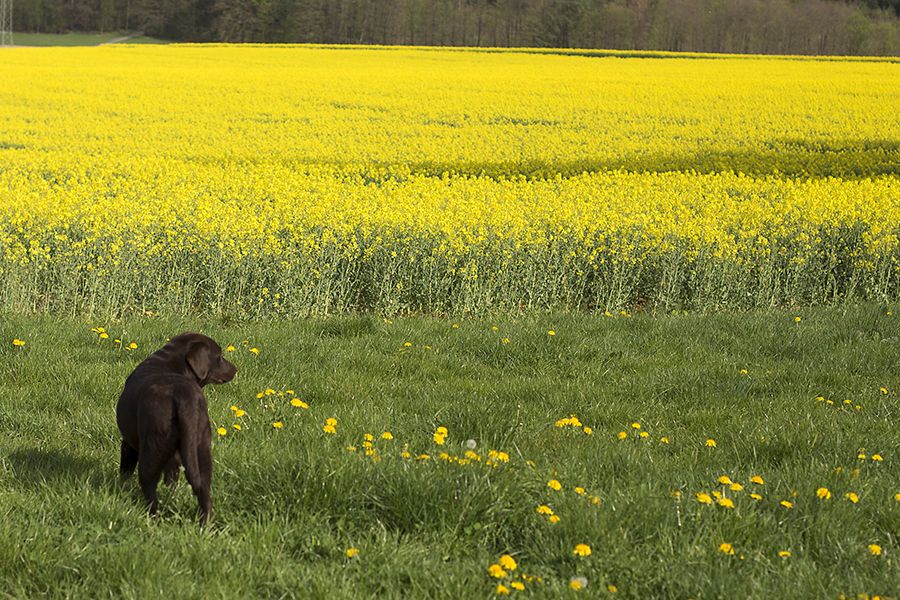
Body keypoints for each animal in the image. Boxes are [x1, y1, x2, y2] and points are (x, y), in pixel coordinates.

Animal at [116, 332, 236, 524]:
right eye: (219, 357)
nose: (235, 369)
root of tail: (182, 395)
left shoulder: (128, 444)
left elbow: (125, 471)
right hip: (202, 448)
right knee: (203, 490)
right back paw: (204, 524)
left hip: (152, 449)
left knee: (150, 489)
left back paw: (153, 519)